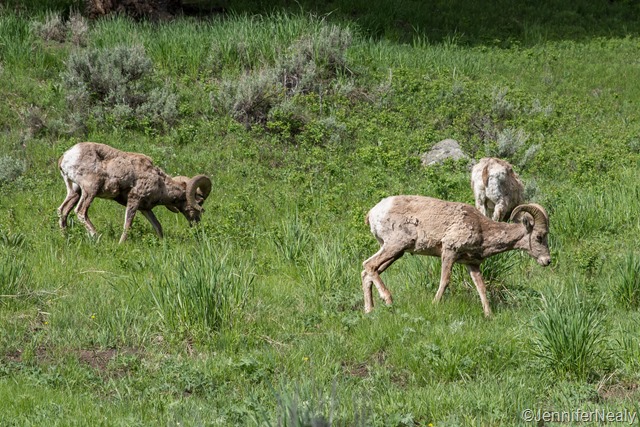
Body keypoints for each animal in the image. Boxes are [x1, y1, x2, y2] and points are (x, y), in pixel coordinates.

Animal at [57, 142, 212, 243]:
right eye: (199, 202)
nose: (197, 223)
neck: (160, 183)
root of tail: (65, 157)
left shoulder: (145, 208)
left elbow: (158, 226)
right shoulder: (134, 200)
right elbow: (128, 225)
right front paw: (121, 244)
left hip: (74, 191)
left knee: (63, 210)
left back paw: (66, 237)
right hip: (90, 190)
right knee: (80, 211)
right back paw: (97, 236)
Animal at [361, 196, 550, 316]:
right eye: (539, 237)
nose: (547, 261)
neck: (482, 228)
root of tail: (373, 213)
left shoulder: (472, 264)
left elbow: (481, 287)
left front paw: (489, 315)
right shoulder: (449, 251)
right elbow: (445, 281)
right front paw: (434, 304)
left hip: (396, 252)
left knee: (367, 272)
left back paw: (369, 310)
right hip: (395, 245)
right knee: (369, 265)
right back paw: (388, 300)